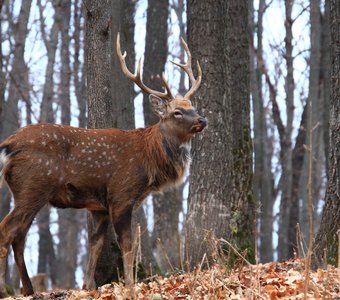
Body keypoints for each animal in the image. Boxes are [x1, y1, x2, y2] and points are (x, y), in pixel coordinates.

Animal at [0, 33, 207, 298]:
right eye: (177, 112)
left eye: (193, 108)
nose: (202, 119)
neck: (149, 163)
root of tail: (7, 145)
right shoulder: (121, 195)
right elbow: (127, 244)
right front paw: (130, 285)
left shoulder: (98, 206)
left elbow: (95, 244)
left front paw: (89, 286)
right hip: (32, 185)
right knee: (7, 230)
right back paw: (5, 288)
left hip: (29, 191)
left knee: (20, 236)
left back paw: (27, 288)